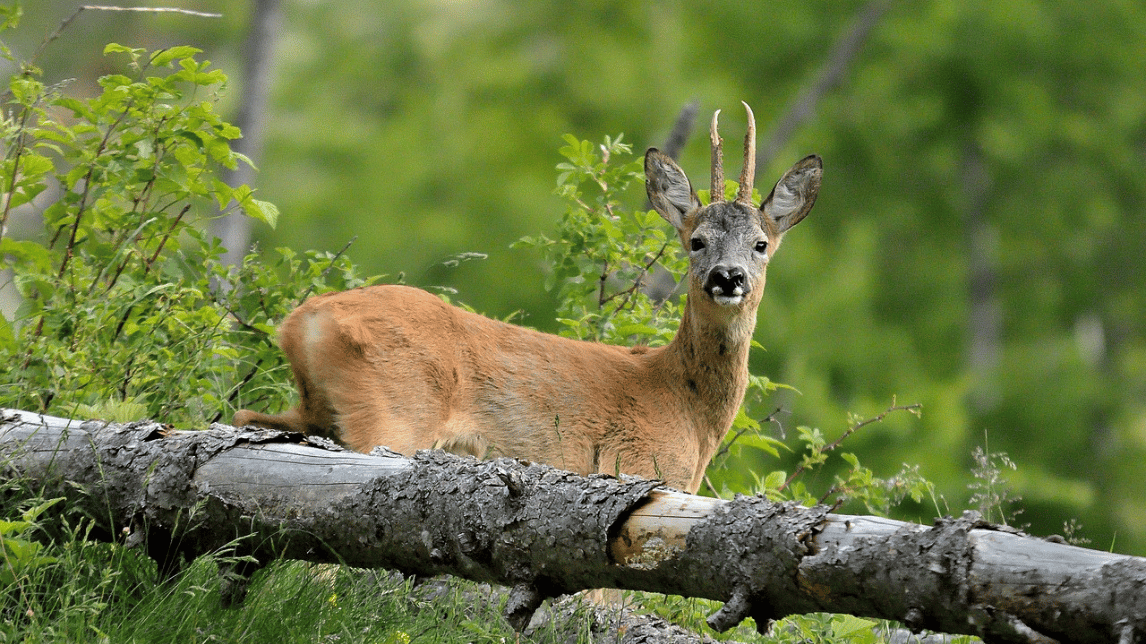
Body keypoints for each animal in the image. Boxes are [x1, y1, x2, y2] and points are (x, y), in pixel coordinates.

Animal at [234, 101, 825, 490]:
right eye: (696, 241)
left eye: (761, 244)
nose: (728, 277)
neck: (688, 408)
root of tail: (303, 321)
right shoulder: (633, 470)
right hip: (390, 416)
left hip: (309, 412)